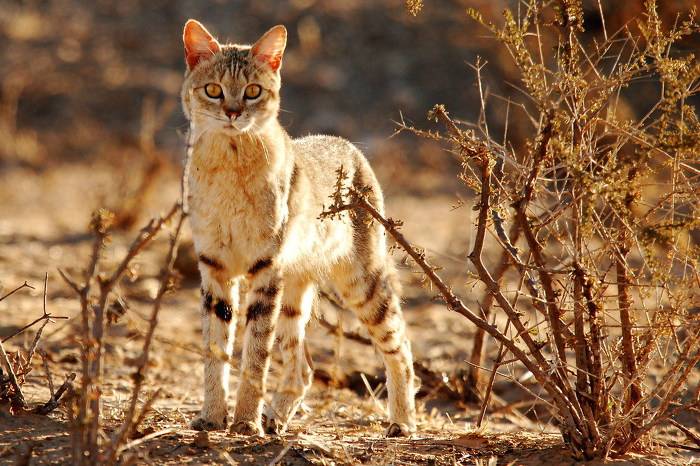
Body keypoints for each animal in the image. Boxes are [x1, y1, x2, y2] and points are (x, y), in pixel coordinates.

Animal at [182, 20, 416, 436]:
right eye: (213, 90)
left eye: (253, 91)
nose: (232, 112)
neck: (228, 164)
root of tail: (348, 144)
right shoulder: (215, 266)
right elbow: (215, 349)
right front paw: (212, 417)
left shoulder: (264, 267)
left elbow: (255, 354)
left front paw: (244, 422)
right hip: (294, 293)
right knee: (304, 367)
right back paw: (276, 419)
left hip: (361, 281)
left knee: (401, 346)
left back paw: (403, 422)